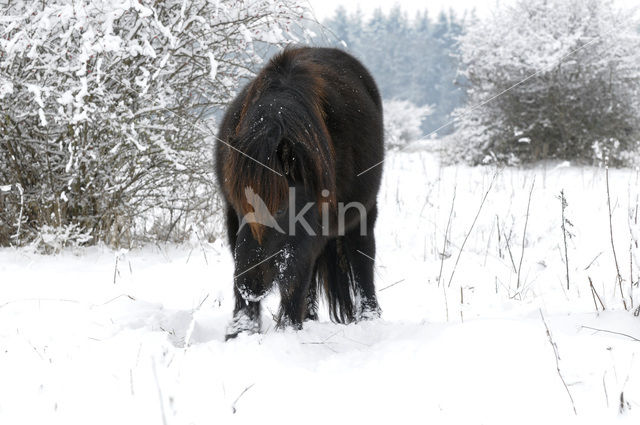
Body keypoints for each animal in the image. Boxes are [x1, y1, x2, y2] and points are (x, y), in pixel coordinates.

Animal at [215, 46, 384, 338]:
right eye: (238, 205)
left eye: (281, 207)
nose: (249, 286)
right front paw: (240, 332)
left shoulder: (308, 235)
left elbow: (295, 282)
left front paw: (289, 332)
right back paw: (310, 317)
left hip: (362, 216)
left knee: (362, 264)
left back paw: (369, 318)